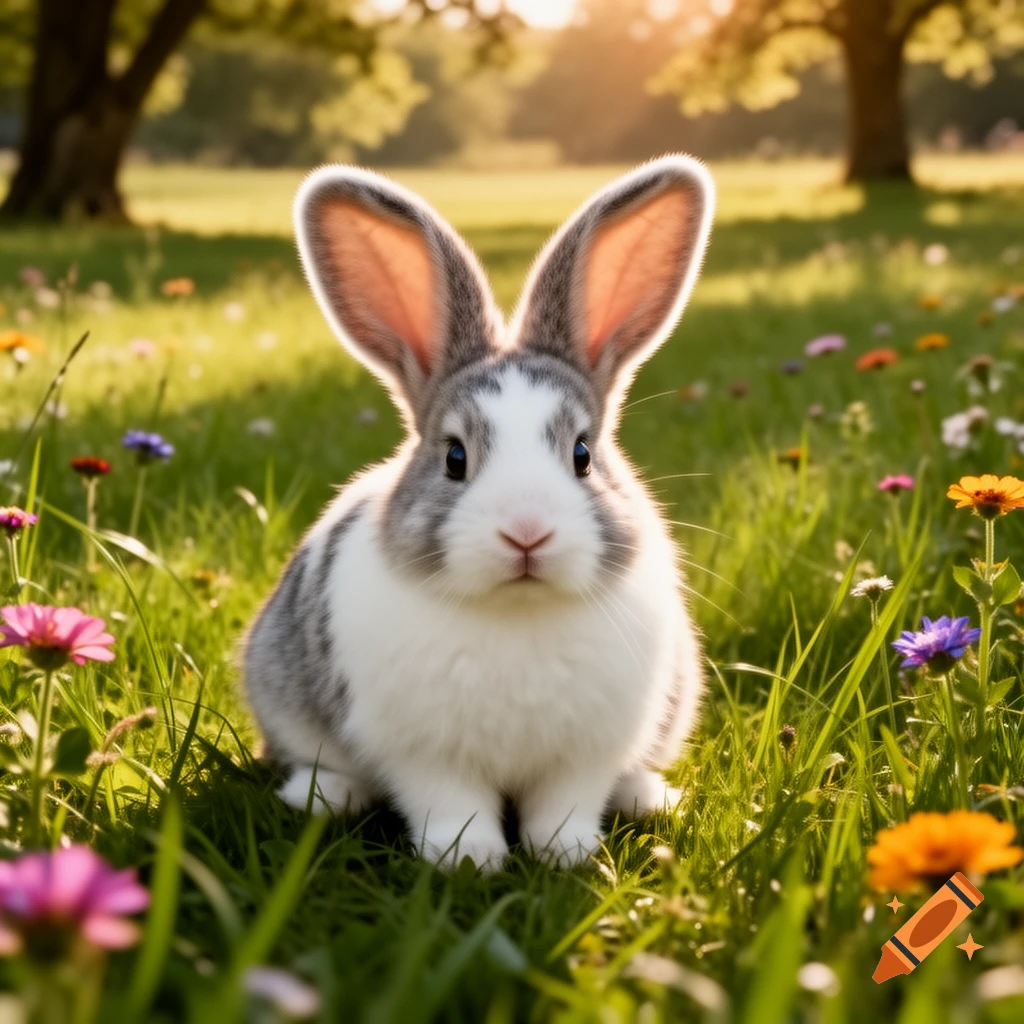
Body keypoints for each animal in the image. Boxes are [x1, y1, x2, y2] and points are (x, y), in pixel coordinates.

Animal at [243, 154, 715, 870]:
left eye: (582, 454)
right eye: (455, 457)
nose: (526, 533)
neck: (516, 610)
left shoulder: (583, 756)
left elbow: (564, 807)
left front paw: (569, 855)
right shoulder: (426, 756)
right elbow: (451, 804)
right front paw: (468, 861)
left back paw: (648, 796)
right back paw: (325, 796)